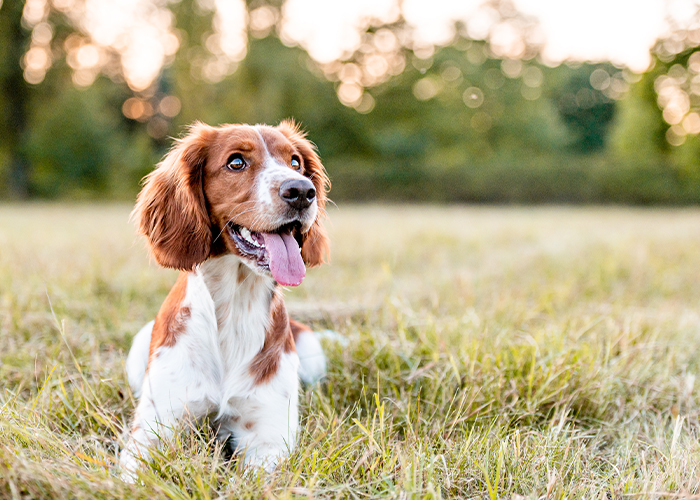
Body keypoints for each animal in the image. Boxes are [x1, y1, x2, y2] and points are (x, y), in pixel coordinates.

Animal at [119, 120, 330, 480]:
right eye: (236, 162)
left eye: (295, 162)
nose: (302, 191)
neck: (235, 305)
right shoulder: (152, 430)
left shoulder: (268, 438)